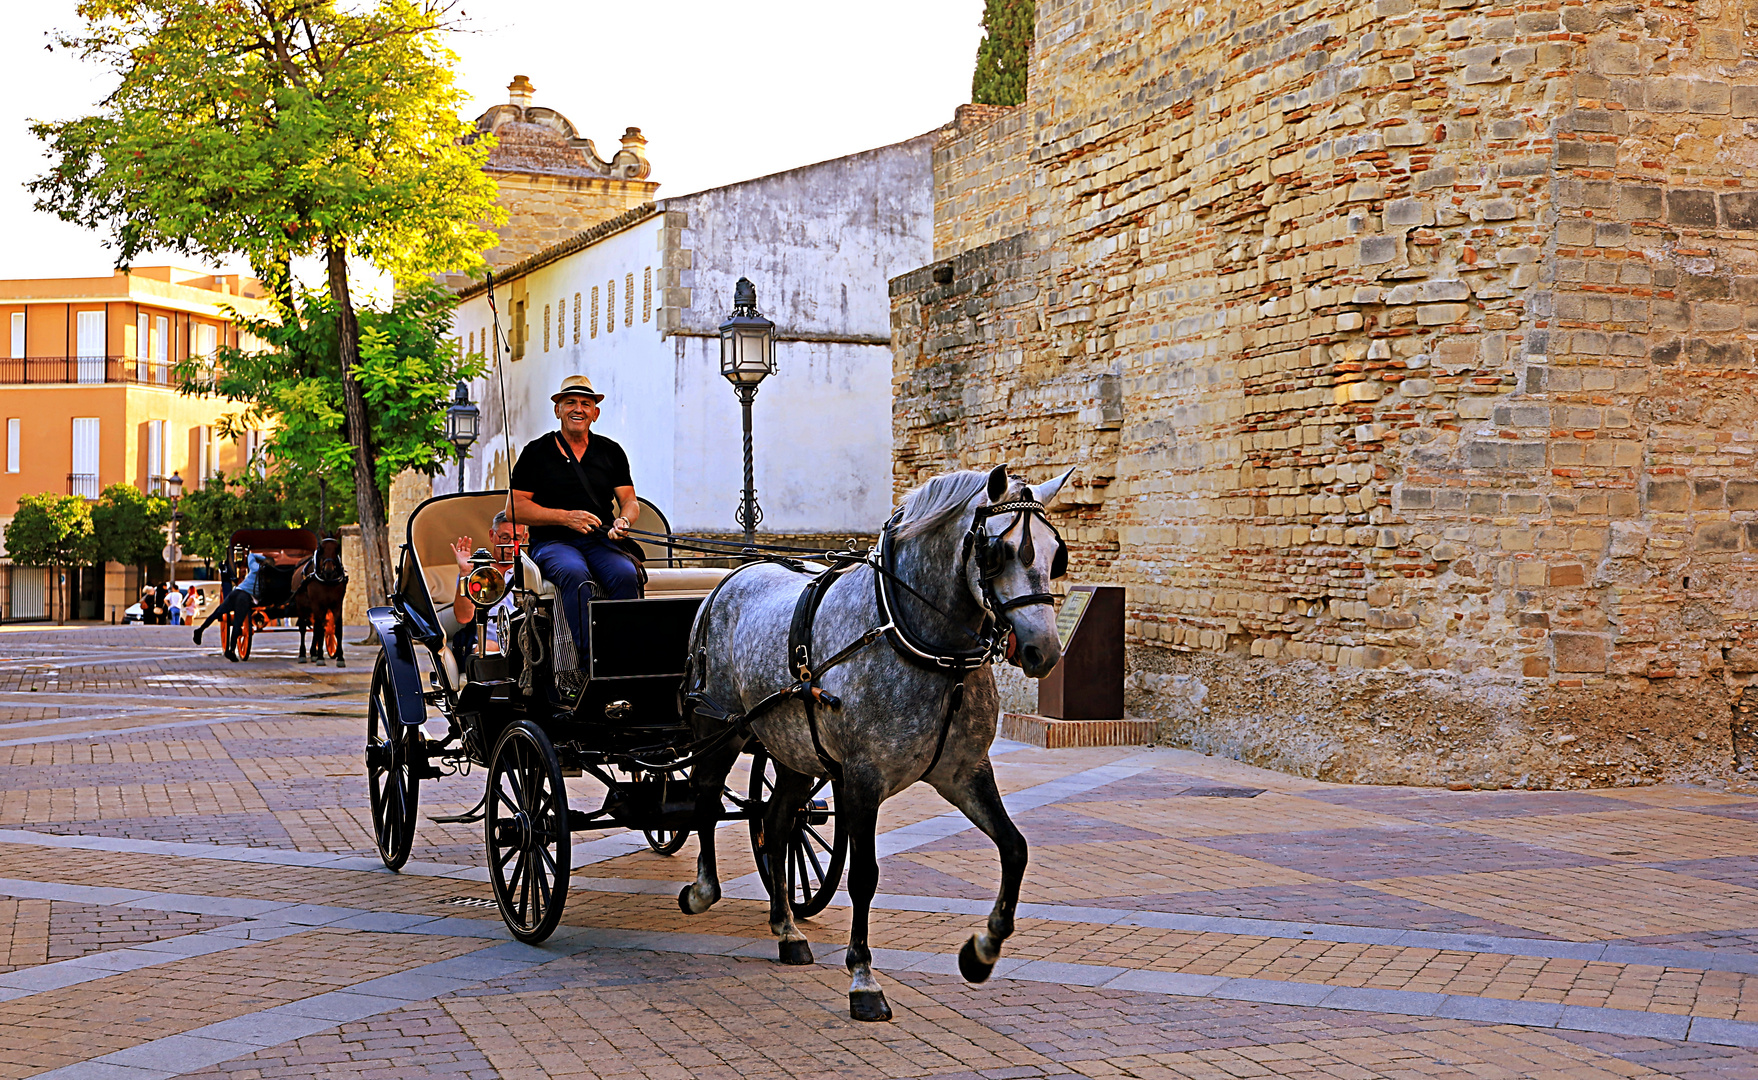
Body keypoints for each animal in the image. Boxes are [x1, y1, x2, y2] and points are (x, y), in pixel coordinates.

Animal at [293, 534, 348, 664]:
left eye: (337, 548)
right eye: (321, 548)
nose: (329, 571)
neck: (327, 581)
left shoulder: (337, 605)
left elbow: (337, 629)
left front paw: (340, 657)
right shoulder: (317, 605)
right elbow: (318, 628)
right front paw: (320, 658)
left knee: (317, 628)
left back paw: (314, 652)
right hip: (301, 606)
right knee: (303, 628)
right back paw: (302, 654)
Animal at [675, 464, 1061, 1027]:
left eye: (1057, 553)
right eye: (999, 552)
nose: (1043, 651)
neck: (923, 644)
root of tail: (728, 579)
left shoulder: (964, 772)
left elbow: (1014, 849)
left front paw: (982, 950)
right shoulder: (862, 778)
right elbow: (863, 876)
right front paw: (863, 978)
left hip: (794, 750)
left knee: (777, 821)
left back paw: (787, 928)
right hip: (719, 728)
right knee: (703, 795)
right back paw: (704, 890)